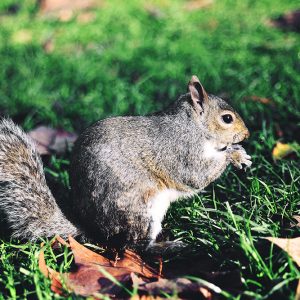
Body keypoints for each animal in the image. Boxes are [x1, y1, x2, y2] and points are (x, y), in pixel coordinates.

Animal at [0, 75, 251, 253]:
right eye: (227, 118)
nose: (247, 134)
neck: (192, 126)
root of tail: (94, 231)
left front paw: (239, 152)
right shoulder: (181, 151)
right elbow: (196, 175)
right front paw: (233, 155)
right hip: (140, 211)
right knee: (135, 247)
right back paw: (168, 247)